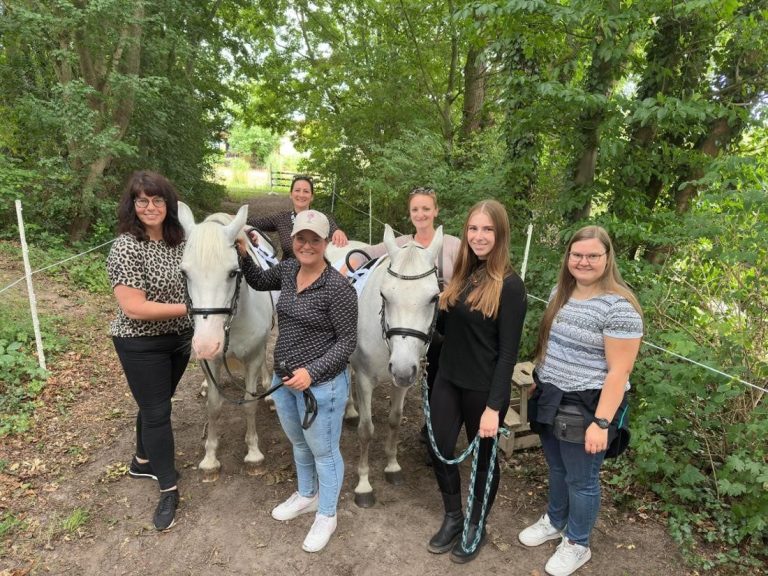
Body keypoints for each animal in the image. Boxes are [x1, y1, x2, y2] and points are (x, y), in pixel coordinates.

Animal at [177, 203, 273, 481]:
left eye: (233, 272)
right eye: (184, 272)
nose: (207, 344)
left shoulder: (253, 357)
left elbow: (249, 404)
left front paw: (254, 454)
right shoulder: (211, 362)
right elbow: (214, 406)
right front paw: (210, 458)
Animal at [350, 224, 443, 507]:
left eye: (434, 297)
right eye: (384, 294)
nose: (401, 368)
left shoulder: (403, 379)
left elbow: (395, 420)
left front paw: (392, 466)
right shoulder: (365, 379)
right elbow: (366, 430)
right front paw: (364, 484)